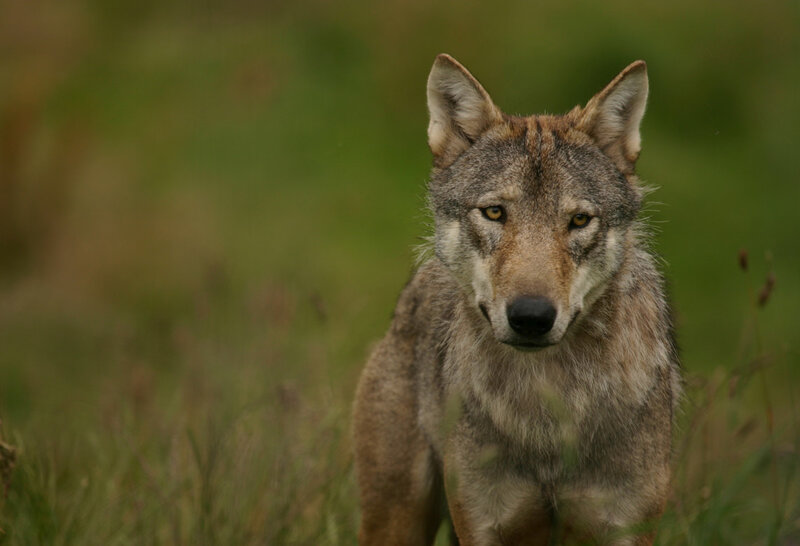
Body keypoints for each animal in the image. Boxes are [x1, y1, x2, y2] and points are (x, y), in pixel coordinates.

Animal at [353, 54, 681, 545]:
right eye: (494, 213)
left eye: (579, 220)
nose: (530, 316)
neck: (544, 409)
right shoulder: (482, 525)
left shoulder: (628, 528)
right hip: (396, 521)